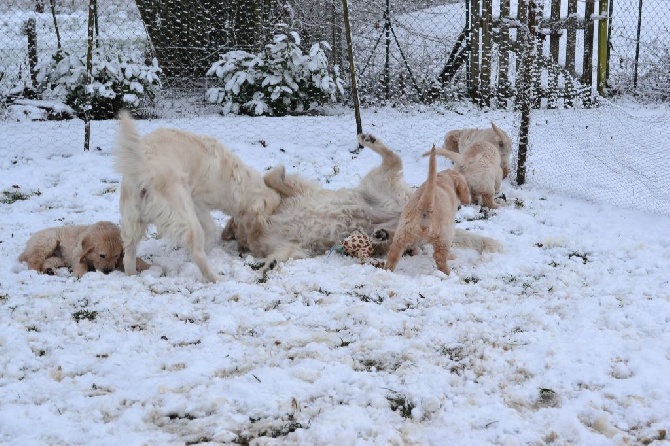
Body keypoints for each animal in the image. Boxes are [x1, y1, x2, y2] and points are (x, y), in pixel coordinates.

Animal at [18, 220, 150, 278]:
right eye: (102, 255)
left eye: (116, 256)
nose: (108, 271)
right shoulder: (77, 253)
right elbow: (82, 264)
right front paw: (79, 274)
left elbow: (134, 260)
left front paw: (147, 266)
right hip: (47, 241)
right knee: (34, 260)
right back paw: (36, 272)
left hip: (60, 258)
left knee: (48, 260)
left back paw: (49, 270)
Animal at [115, 110, 280, 282]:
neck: (236, 181)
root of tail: (144, 170)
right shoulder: (198, 203)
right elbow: (211, 228)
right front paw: (208, 248)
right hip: (186, 217)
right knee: (197, 253)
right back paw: (217, 278)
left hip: (132, 223)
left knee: (128, 255)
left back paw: (133, 275)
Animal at [384, 146, 472, 274]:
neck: (444, 178)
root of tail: (425, 205)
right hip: (445, 235)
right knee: (440, 257)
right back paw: (447, 272)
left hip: (402, 233)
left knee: (393, 254)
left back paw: (387, 270)